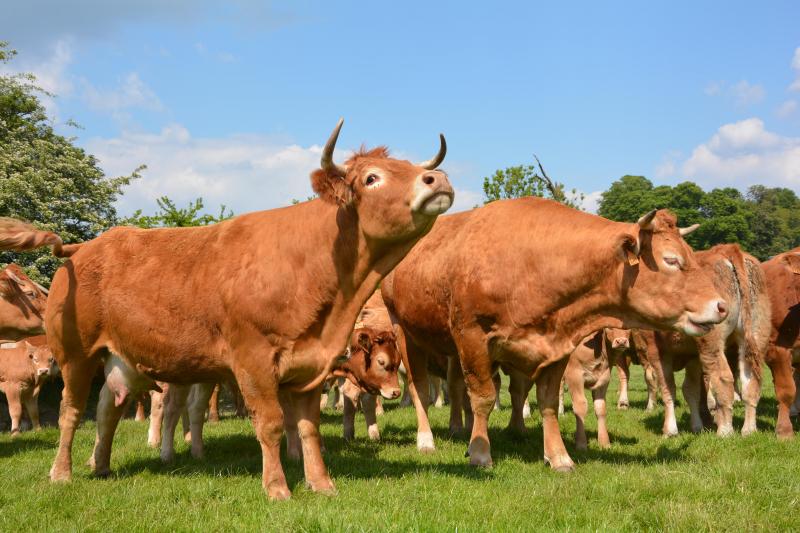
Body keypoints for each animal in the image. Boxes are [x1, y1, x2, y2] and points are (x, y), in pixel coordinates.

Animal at [0, 119, 454, 498]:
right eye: (372, 178)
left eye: (408, 165)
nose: (438, 178)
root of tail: (86, 246)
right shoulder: (253, 363)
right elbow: (270, 424)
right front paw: (278, 488)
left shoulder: (310, 366)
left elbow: (309, 428)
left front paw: (322, 484)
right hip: (75, 355)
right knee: (71, 412)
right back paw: (62, 473)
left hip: (120, 359)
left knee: (107, 410)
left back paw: (102, 467)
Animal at [384, 200, 728, 470]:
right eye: (671, 260)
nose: (722, 306)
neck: (532, 264)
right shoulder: (472, 337)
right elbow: (484, 398)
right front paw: (481, 453)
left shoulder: (557, 346)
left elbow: (548, 401)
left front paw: (559, 456)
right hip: (405, 332)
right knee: (419, 388)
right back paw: (427, 439)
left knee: (458, 390)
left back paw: (464, 430)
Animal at [632, 245, 768, 436]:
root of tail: (727, 249)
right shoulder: (693, 356)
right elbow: (691, 390)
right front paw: (697, 426)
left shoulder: (656, 350)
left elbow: (668, 388)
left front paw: (670, 430)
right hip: (755, 335)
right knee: (751, 381)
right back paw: (748, 429)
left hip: (711, 343)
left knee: (723, 378)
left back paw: (725, 430)